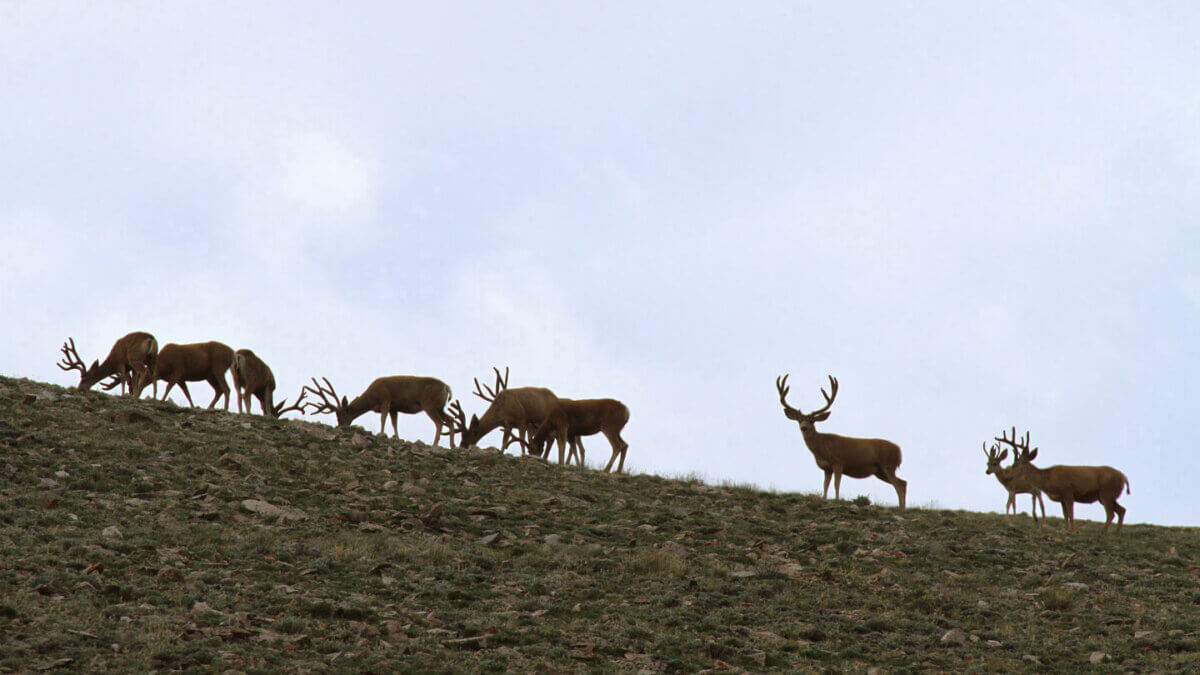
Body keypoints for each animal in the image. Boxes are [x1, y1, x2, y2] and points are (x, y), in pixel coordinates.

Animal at [302, 375, 456, 447]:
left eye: (341, 415)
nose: (341, 426)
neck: (371, 399)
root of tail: (447, 387)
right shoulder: (395, 407)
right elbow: (394, 423)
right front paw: (396, 437)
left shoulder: (386, 399)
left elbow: (383, 418)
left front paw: (381, 433)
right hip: (440, 407)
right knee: (450, 419)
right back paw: (452, 445)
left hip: (429, 404)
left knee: (439, 423)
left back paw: (435, 444)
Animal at [776, 374, 907, 508]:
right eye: (799, 420)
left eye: (812, 421)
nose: (804, 427)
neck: (822, 447)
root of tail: (899, 451)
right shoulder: (827, 468)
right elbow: (825, 485)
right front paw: (824, 499)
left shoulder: (838, 462)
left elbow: (836, 484)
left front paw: (837, 500)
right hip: (879, 470)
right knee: (903, 482)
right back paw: (902, 506)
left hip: (888, 465)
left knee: (898, 485)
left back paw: (901, 508)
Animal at [995, 427, 1131, 534]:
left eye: (1015, 464)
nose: (1008, 475)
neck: (1048, 478)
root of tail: (1124, 477)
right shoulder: (1061, 498)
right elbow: (1065, 515)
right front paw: (1066, 530)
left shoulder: (1068, 491)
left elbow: (1071, 513)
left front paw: (1073, 531)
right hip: (1106, 496)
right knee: (1121, 510)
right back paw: (1116, 533)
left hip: (1106, 493)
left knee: (1111, 513)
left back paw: (1103, 533)